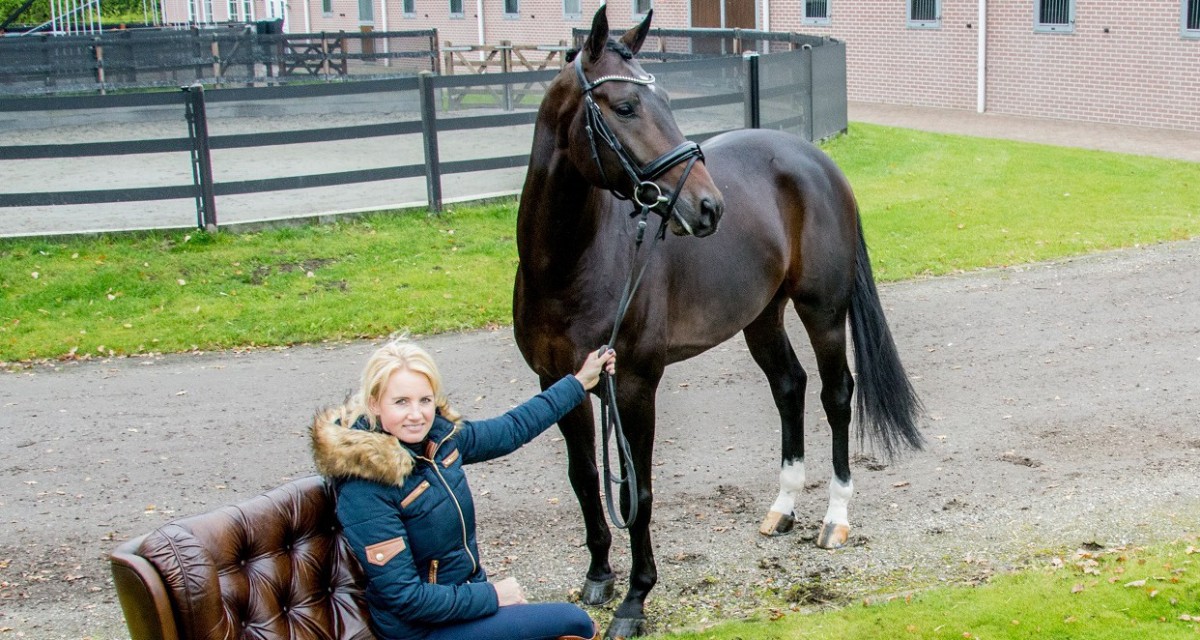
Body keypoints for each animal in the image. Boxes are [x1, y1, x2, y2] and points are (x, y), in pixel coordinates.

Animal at [511, 4, 921, 633]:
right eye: (625, 106)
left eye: (666, 99)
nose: (707, 206)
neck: (571, 266)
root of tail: (818, 162)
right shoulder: (558, 383)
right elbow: (585, 481)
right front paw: (599, 576)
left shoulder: (635, 386)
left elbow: (637, 492)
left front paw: (636, 599)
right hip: (762, 316)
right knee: (789, 386)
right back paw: (782, 507)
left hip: (822, 311)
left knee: (835, 394)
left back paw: (835, 518)